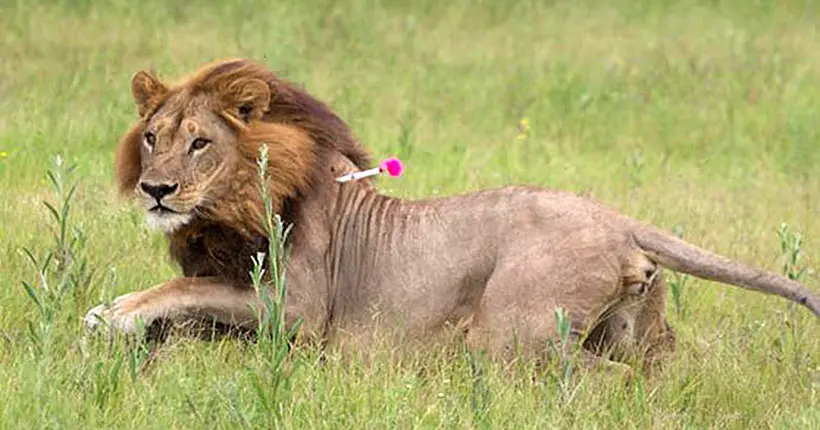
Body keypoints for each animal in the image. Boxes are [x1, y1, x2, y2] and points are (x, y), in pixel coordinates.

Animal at [85, 58, 820, 372]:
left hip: (507, 335)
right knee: (656, 371)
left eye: (199, 143)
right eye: (152, 137)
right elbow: (189, 307)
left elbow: (184, 286)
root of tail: (619, 219)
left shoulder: (299, 308)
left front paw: (110, 315)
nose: (155, 189)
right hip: (637, 331)